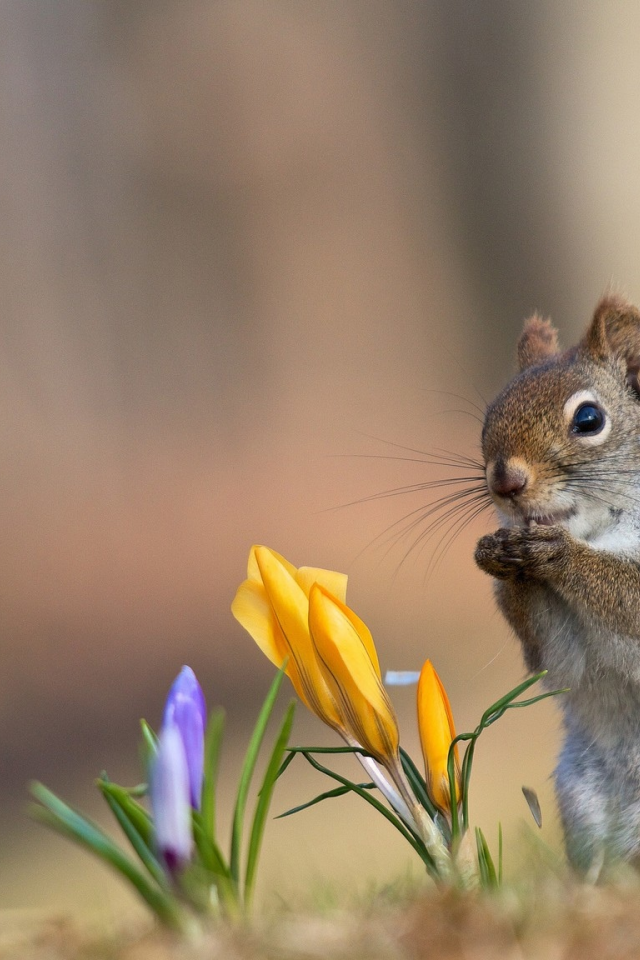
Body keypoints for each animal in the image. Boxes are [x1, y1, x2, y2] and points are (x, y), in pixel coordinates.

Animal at [476, 294, 640, 872]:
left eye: (589, 419)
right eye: (488, 419)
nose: (505, 482)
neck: (600, 531)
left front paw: (558, 555)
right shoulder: (563, 653)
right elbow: (557, 656)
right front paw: (501, 558)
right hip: (583, 798)